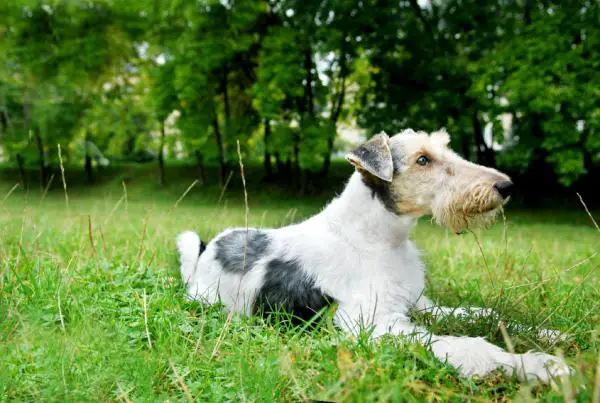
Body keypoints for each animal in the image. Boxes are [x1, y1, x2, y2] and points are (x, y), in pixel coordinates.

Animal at [177, 129, 572, 386]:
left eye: (445, 148)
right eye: (423, 159)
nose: (505, 186)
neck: (382, 239)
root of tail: (208, 249)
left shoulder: (421, 304)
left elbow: (487, 315)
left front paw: (549, 334)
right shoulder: (376, 325)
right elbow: (471, 345)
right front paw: (540, 365)